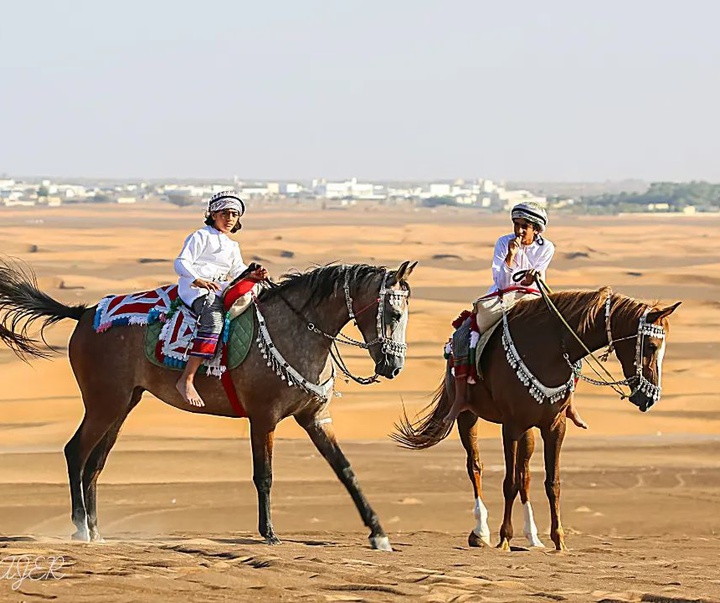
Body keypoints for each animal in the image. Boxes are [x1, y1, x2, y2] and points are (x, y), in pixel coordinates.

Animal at [0, 260, 416, 552]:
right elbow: (264, 476)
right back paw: (80, 528)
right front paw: (269, 533)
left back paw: (97, 530)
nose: (393, 366)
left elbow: (346, 470)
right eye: (394, 314)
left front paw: (378, 533)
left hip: (122, 405)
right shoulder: (263, 417)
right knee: (75, 453)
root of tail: (85, 313)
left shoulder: (314, 418)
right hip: (104, 402)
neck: (295, 330)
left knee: (94, 465)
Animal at [396, 288, 676, 552]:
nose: (649, 398)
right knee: (475, 466)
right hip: (468, 414)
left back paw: (532, 536)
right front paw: (504, 538)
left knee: (525, 475)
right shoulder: (511, 425)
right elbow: (509, 482)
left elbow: (552, 483)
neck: (549, 351)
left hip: (528, 430)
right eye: (651, 346)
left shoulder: (554, 426)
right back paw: (480, 532)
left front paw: (559, 540)